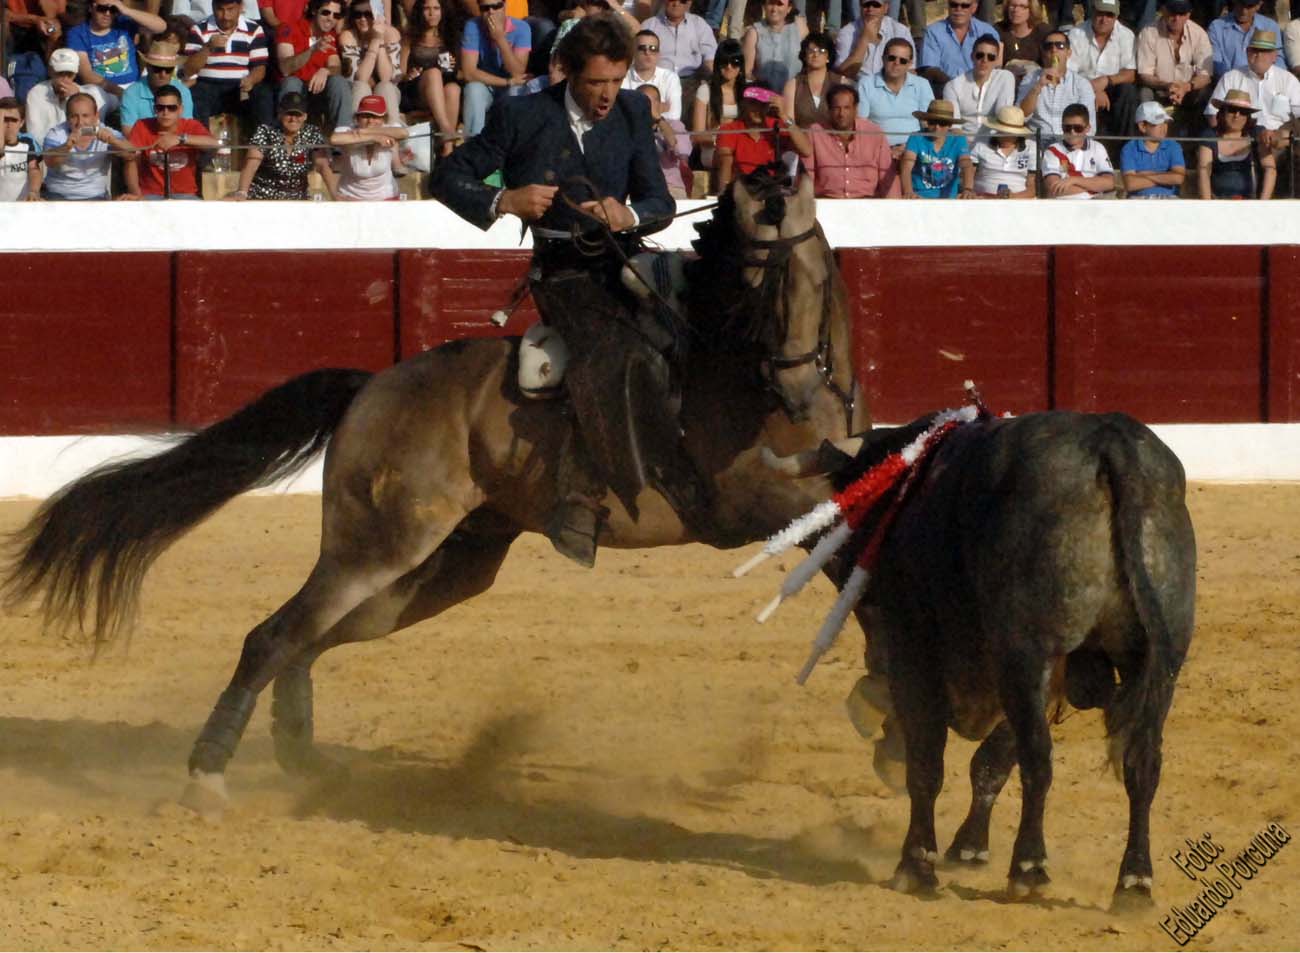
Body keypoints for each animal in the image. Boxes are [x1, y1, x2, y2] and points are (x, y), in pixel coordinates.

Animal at [5, 169, 873, 811]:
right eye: (751, 275)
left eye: (799, 272)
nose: (798, 392)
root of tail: (371, 386)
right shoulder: (749, 506)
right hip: (381, 543)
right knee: (274, 633)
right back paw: (208, 774)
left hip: (448, 562)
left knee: (309, 634)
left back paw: (300, 758)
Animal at [816, 408, 1190, 904]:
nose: (844, 570)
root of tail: (1111, 440)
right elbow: (991, 760)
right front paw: (967, 848)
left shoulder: (916, 652)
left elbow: (927, 762)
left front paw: (917, 864)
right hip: (1159, 663)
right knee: (1142, 762)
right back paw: (1133, 882)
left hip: (1026, 654)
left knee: (1038, 760)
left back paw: (1028, 868)